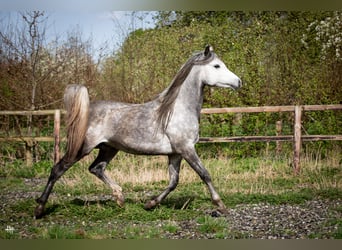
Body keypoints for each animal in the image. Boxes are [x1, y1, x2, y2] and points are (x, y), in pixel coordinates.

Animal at [34, 45, 242, 219]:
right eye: (216, 66)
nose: (239, 82)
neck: (176, 110)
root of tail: (86, 111)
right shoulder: (187, 149)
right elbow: (204, 174)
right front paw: (221, 205)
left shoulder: (175, 153)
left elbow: (173, 181)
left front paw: (150, 204)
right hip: (82, 148)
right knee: (57, 169)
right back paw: (39, 209)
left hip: (109, 148)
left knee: (96, 168)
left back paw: (120, 198)